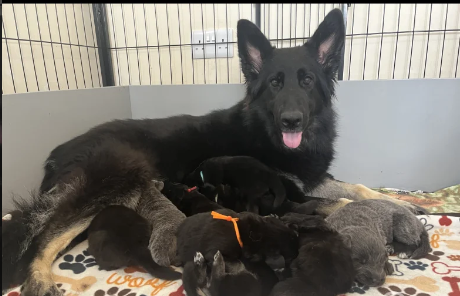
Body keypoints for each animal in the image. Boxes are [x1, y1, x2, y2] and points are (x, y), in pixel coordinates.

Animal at [5, 9, 424, 296]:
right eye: (275, 84)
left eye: (306, 81)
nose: (291, 120)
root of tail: (60, 149)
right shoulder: (293, 191)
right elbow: (341, 202)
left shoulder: (312, 179)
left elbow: (359, 188)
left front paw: (404, 204)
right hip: (115, 179)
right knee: (43, 237)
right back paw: (37, 278)